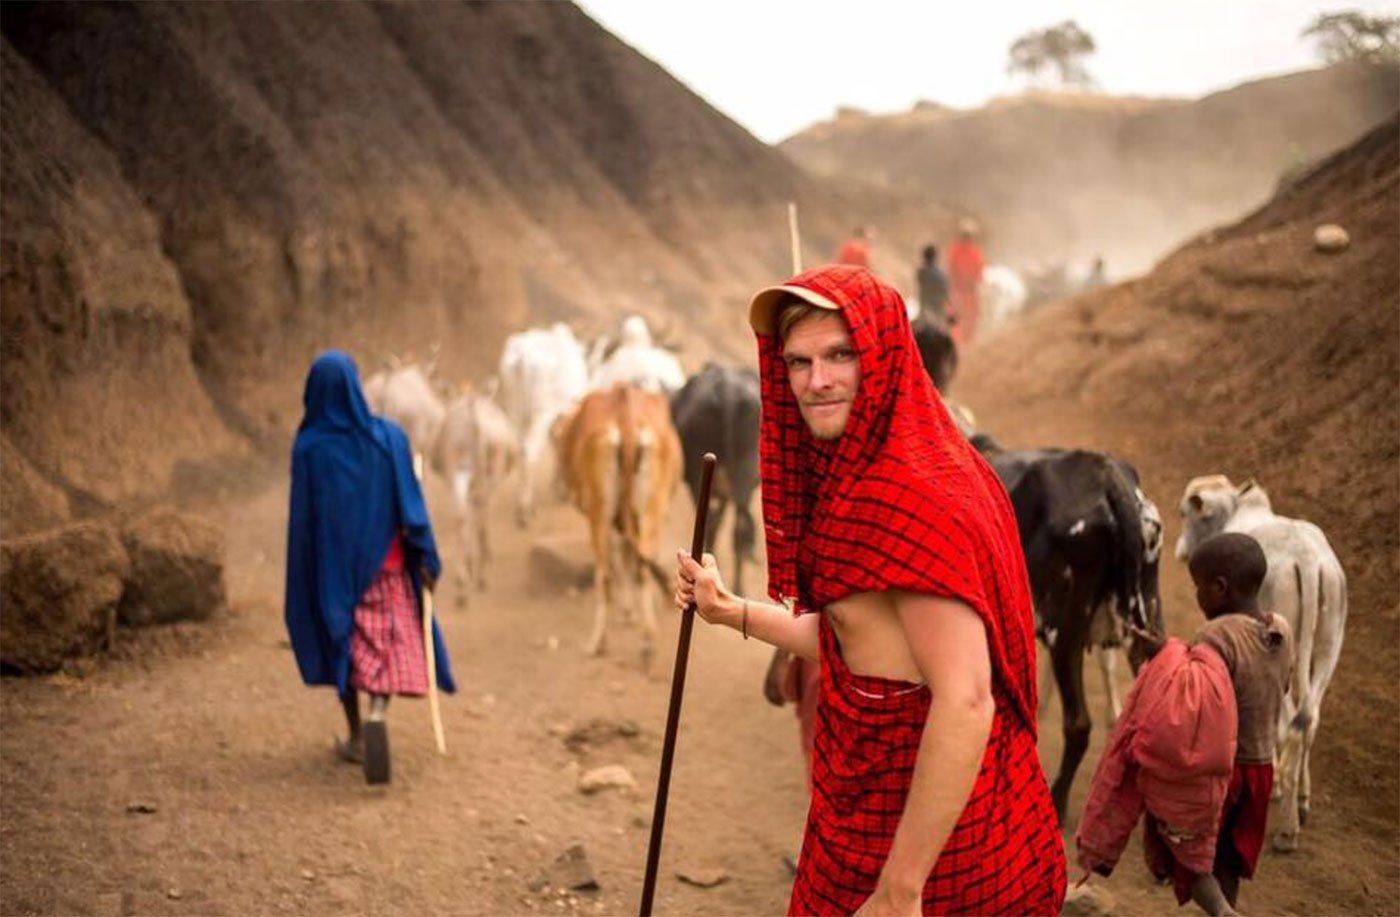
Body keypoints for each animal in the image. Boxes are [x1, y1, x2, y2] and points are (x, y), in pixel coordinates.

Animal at [498, 324, 590, 526]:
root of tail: (522, 355)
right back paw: (525, 510)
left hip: (514, 411)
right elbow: (560, 443)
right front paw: (562, 488)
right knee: (529, 451)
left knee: (519, 450)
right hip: (540, 413)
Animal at [560, 380, 686, 666]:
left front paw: (628, 610)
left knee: (607, 573)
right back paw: (648, 640)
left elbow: (621, 559)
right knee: (642, 566)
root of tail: (624, 406)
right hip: (648, 509)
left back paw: (598, 642)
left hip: (600, 513)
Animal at [1176, 476, 1349, 851]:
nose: (1181, 552)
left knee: (1291, 722)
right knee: (1309, 717)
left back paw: (1286, 826)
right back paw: (1300, 804)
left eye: (1185, 513)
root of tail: (1308, 561)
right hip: (1330, 642)